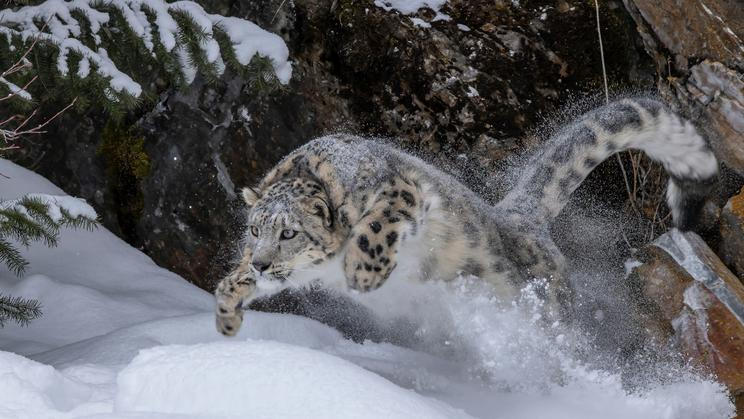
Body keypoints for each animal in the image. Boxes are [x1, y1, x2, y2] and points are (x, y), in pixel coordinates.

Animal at [214, 97, 718, 336]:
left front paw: (363, 275)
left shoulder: (401, 191)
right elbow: (231, 282)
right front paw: (227, 315)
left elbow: (375, 227)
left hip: (547, 304)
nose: (262, 262)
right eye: (255, 230)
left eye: (290, 232)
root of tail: (518, 216)